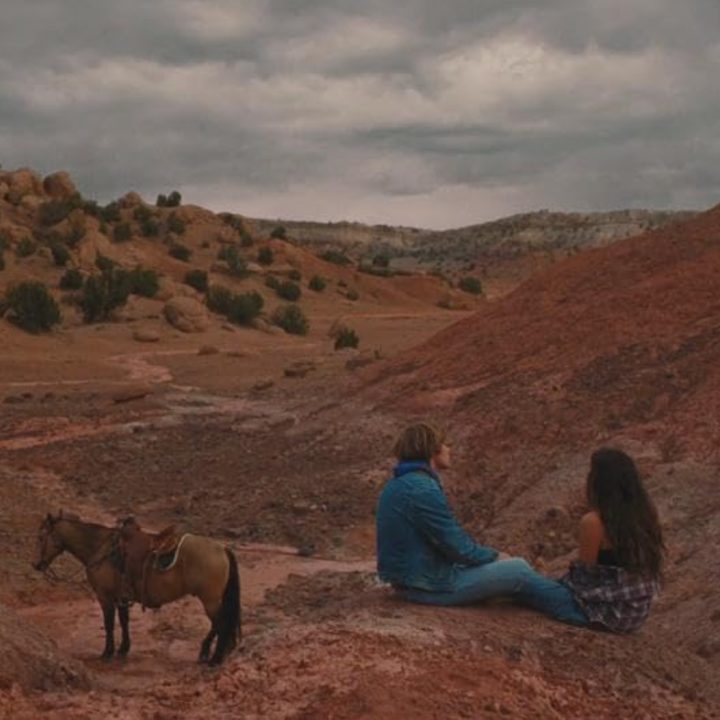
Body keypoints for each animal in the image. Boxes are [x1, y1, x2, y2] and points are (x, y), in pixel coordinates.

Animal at [33, 512, 240, 664]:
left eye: (41, 537)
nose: (36, 564)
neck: (99, 548)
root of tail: (222, 549)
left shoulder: (105, 597)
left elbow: (109, 624)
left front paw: (107, 652)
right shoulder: (121, 597)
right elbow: (124, 621)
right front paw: (123, 649)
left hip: (210, 599)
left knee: (220, 624)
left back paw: (214, 659)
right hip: (212, 599)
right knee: (218, 625)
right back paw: (208, 653)